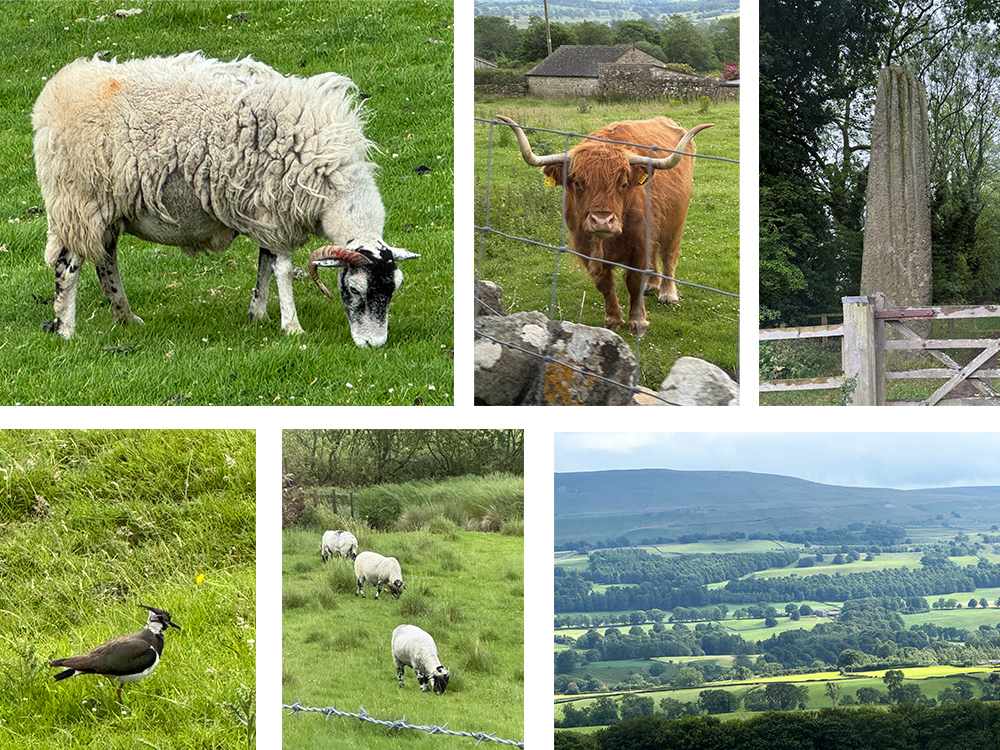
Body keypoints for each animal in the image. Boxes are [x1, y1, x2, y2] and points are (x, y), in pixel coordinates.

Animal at [31, 51, 419, 347]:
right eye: (353, 289)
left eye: (394, 289)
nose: (373, 345)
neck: (332, 181)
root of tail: (52, 99)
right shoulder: (275, 211)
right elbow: (281, 269)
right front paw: (291, 326)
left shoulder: (263, 211)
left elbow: (265, 265)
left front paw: (257, 313)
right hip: (78, 199)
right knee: (68, 265)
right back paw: (66, 328)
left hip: (107, 207)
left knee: (105, 258)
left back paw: (125, 316)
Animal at [497, 115, 712, 337]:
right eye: (578, 182)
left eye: (623, 183)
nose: (601, 221)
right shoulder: (585, 246)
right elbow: (604, 283)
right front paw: (613, 320)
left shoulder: (640, 243)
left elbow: (634, 281)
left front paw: (638, 322)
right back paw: (652, 285)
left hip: (675, 222)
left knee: (669, 254)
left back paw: (668, 294)